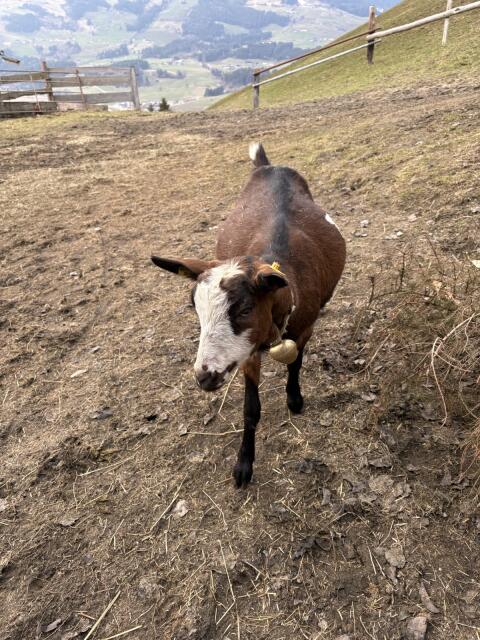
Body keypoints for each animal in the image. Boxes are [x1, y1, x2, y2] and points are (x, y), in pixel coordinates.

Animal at [152, 143, 346, 487]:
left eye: (244, 309)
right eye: (195, 308)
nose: (204, 376)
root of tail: (271, 167)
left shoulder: (304, 329)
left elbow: (295, 363)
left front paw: (294, 399)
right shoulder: (248, 353)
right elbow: (250, 409)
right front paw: (243, 465)